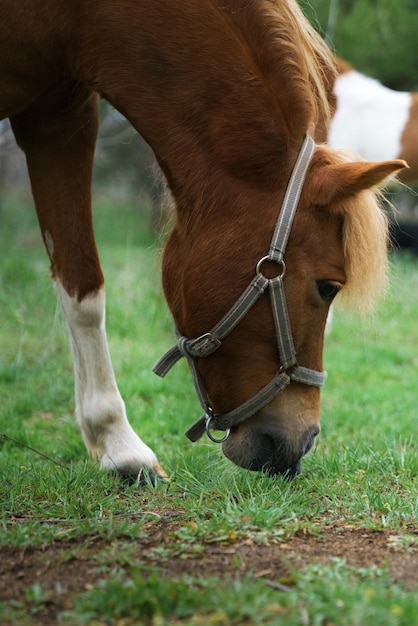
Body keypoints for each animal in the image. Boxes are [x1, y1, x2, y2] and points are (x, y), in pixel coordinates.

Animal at [0, 1, 404, 478]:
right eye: (328, 287)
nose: (304, 442)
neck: (79, 17)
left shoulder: (60, 112)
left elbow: (82, 289)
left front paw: (117, 444)